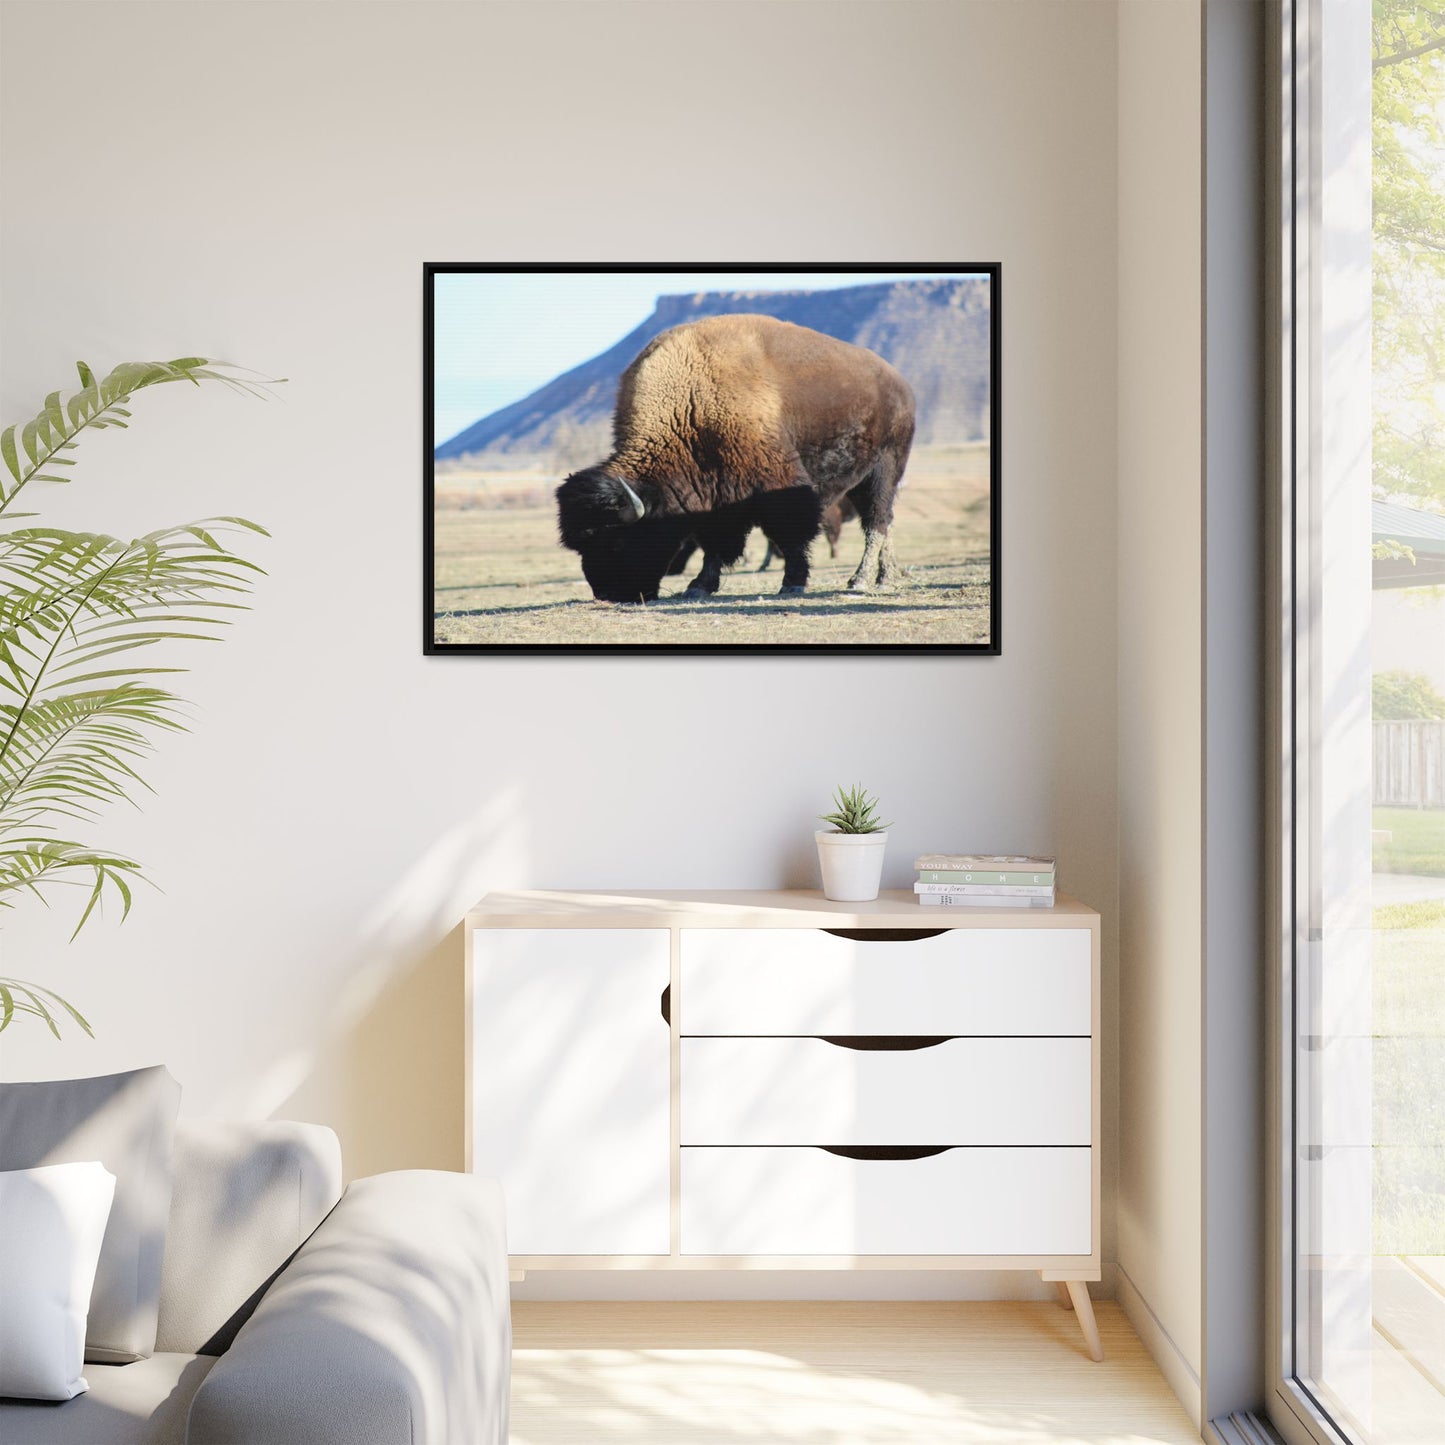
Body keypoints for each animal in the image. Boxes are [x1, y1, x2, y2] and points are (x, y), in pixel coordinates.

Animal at [556, 313, 914, 603]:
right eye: (581, 546)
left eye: (616, 541)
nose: (607, 593)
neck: (690, 404)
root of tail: (899, 383)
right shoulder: (714, 497)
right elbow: (714, 543)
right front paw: (699, 586)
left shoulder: (778, 485)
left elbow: (791, 534)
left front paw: (793, 583)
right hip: (862, 478)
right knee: (883, 522)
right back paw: (886, 576)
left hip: (885, 469)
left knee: (876, 521)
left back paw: (863, 580)